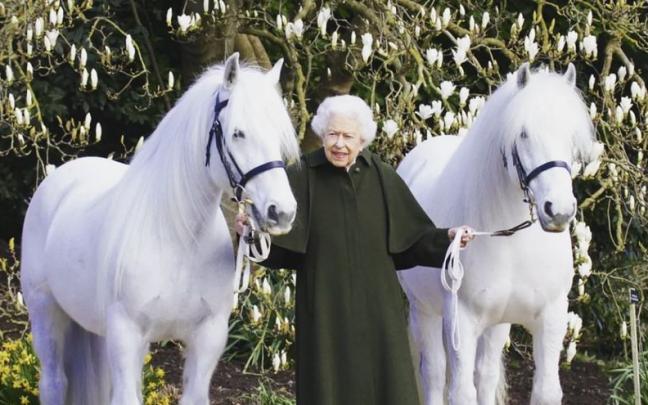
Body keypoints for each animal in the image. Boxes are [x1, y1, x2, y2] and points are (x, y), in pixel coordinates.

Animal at [20, 53, 300, 405]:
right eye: (238, 133)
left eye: (279, 136)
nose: (282, 212)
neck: (179, 238)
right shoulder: (127, 335)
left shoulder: (207, 338)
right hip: (46, 313)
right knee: (54, 381)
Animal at [397, 63, 595, 405]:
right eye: (524, 133)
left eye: (570, 135)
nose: (558, 210)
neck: (512, 242)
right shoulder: (460, 321)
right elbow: (461, 392)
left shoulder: (550, 318)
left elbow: (544, 390)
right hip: (425, 311)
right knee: (434, 374)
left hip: (495, 324)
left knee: (486, 375)